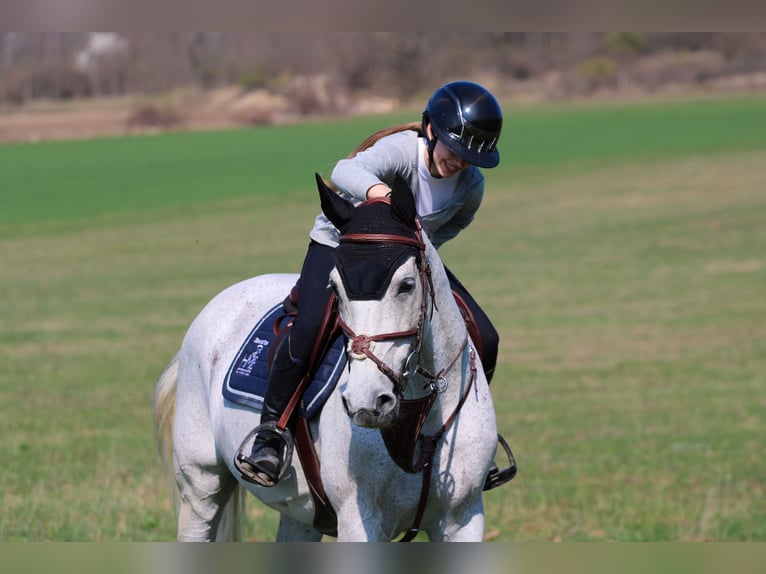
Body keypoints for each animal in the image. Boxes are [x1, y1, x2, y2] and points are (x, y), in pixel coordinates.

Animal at [154, 173, 504, 544]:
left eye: (407, 285)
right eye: (334, 288)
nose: (366, 400)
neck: (420, 416)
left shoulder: (462, 519)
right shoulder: (359, 521)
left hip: (299, 516)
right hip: (201, 486)